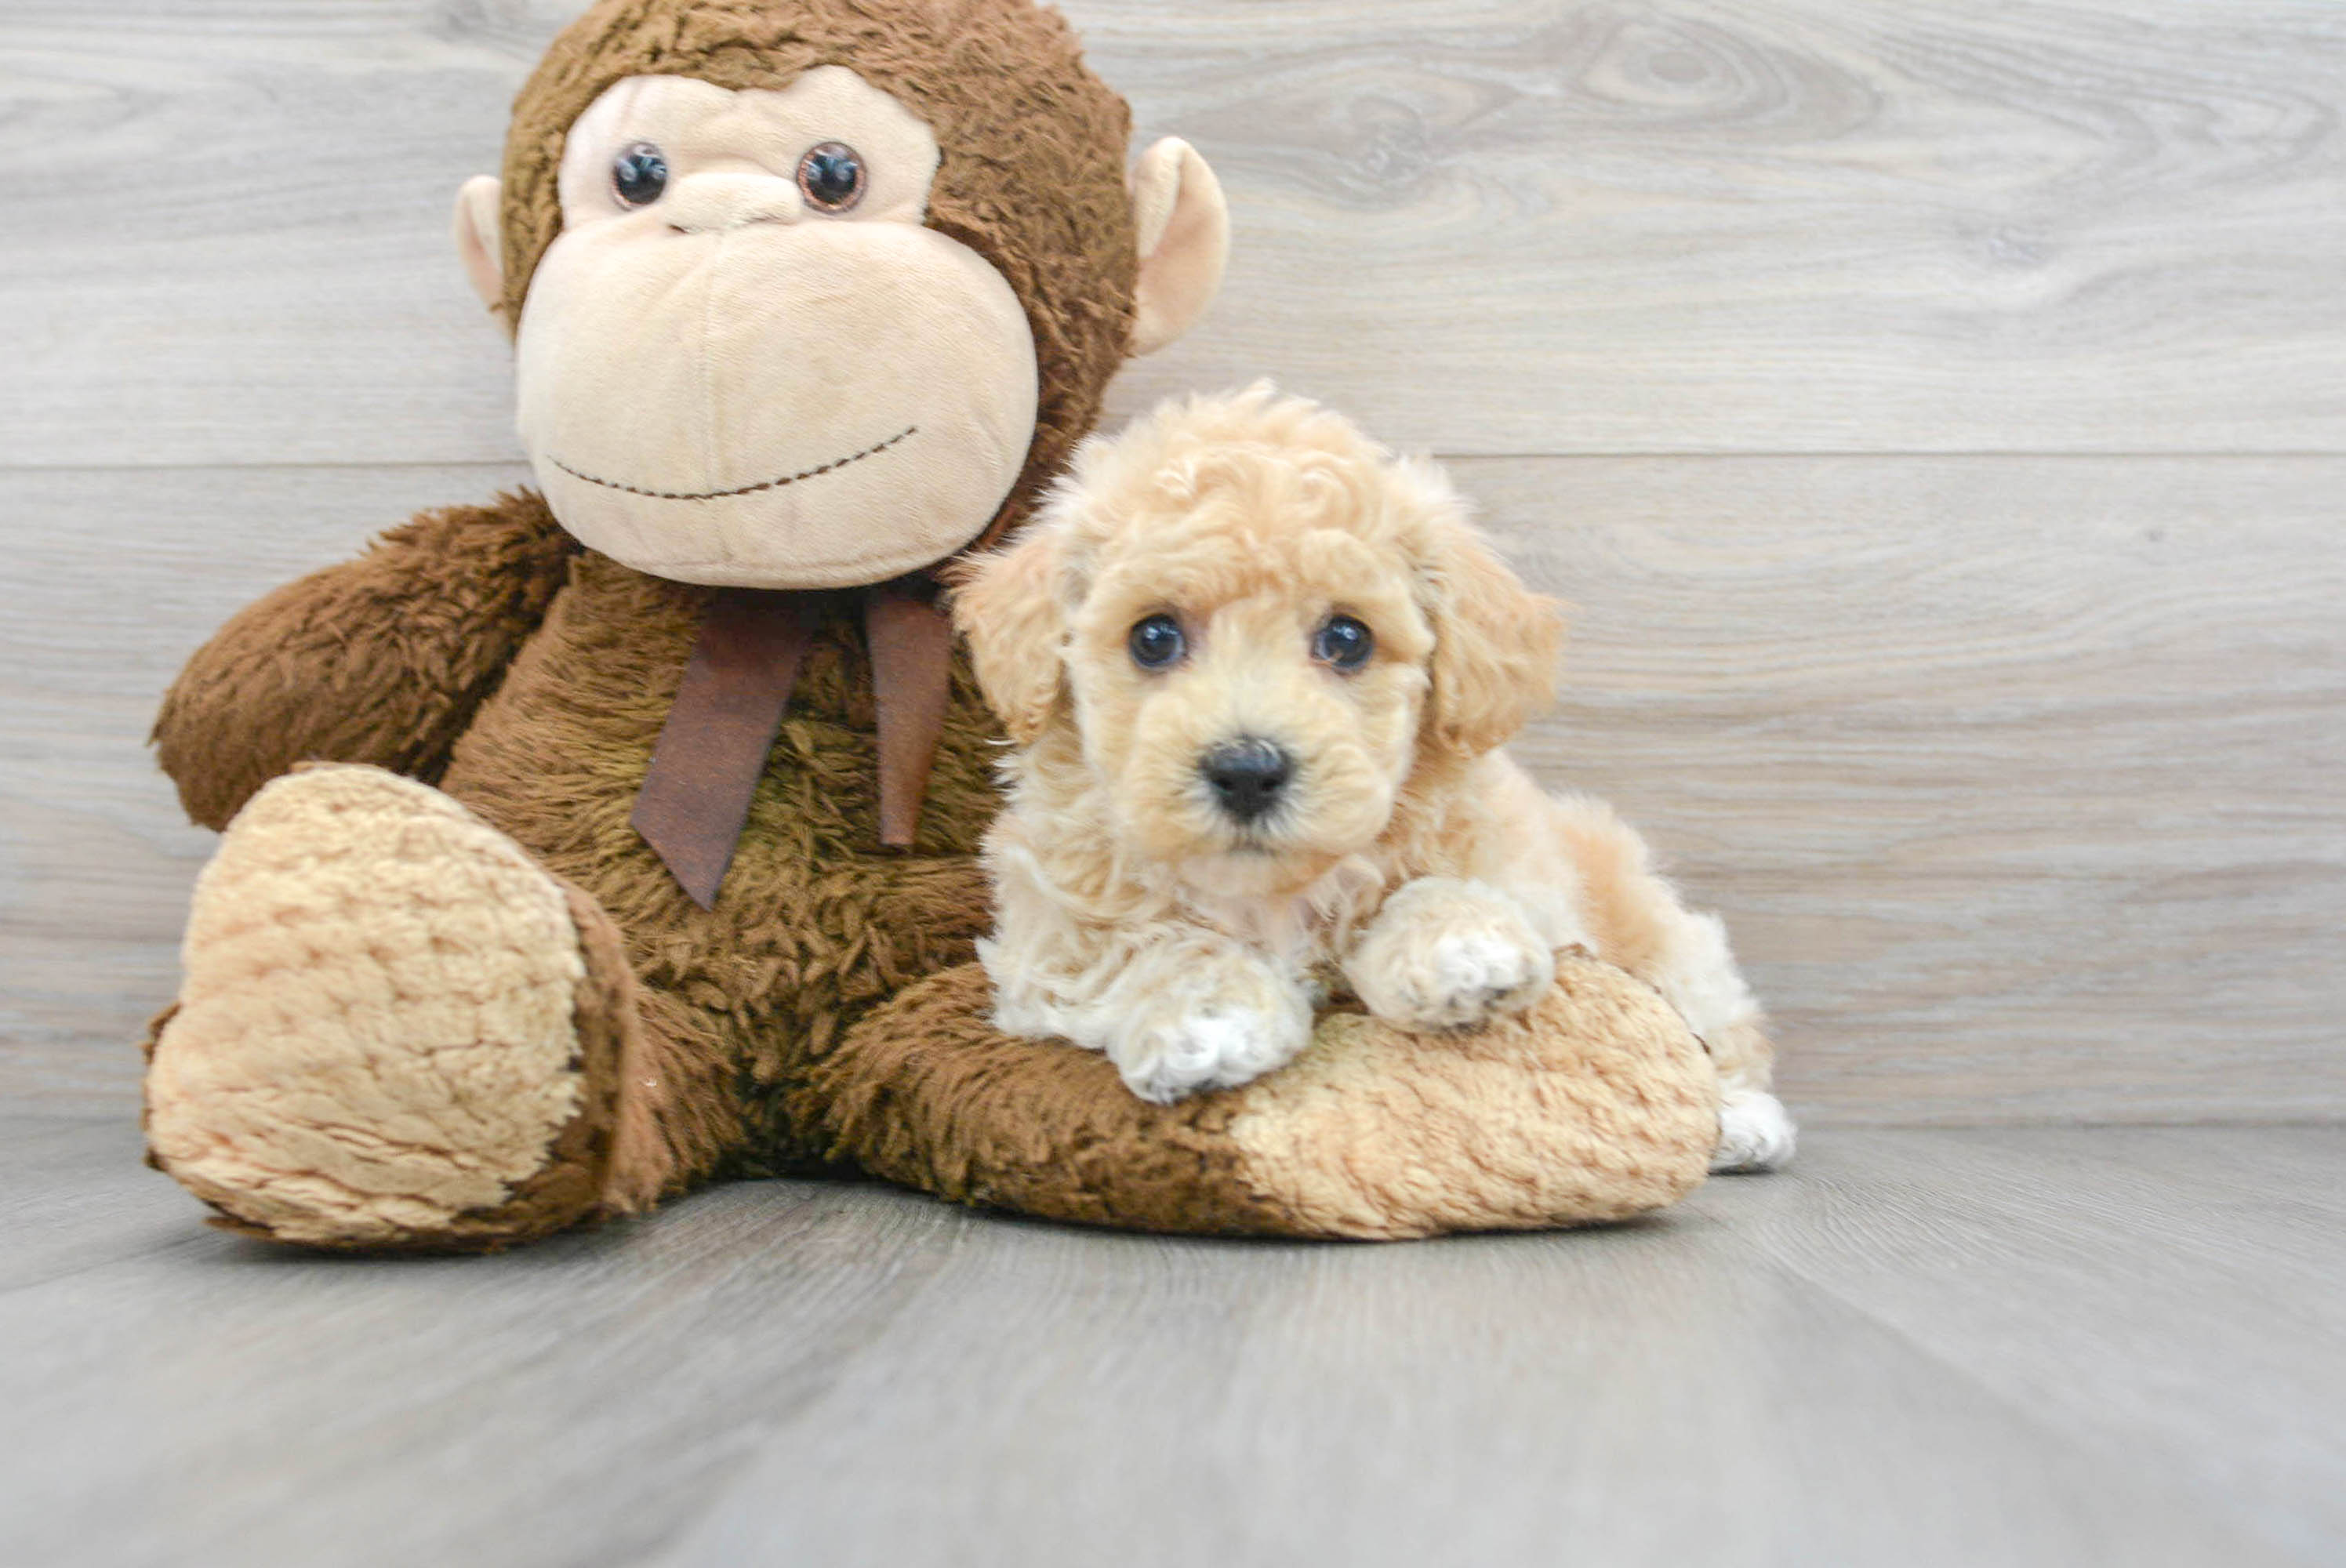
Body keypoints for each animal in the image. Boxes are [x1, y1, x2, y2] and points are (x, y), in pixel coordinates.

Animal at [952, 383, 1792, 1164]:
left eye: (1348, 639)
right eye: (1152, 638)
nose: (1247, 771)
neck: (1272, 899)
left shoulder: (1529, 883)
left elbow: (1437, 887)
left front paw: (1460, 949)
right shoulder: (1046, 937)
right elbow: (1146, 943)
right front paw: (1208, 1017)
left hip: (1664, 935)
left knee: (1717, 1030)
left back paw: (1744, 1125)